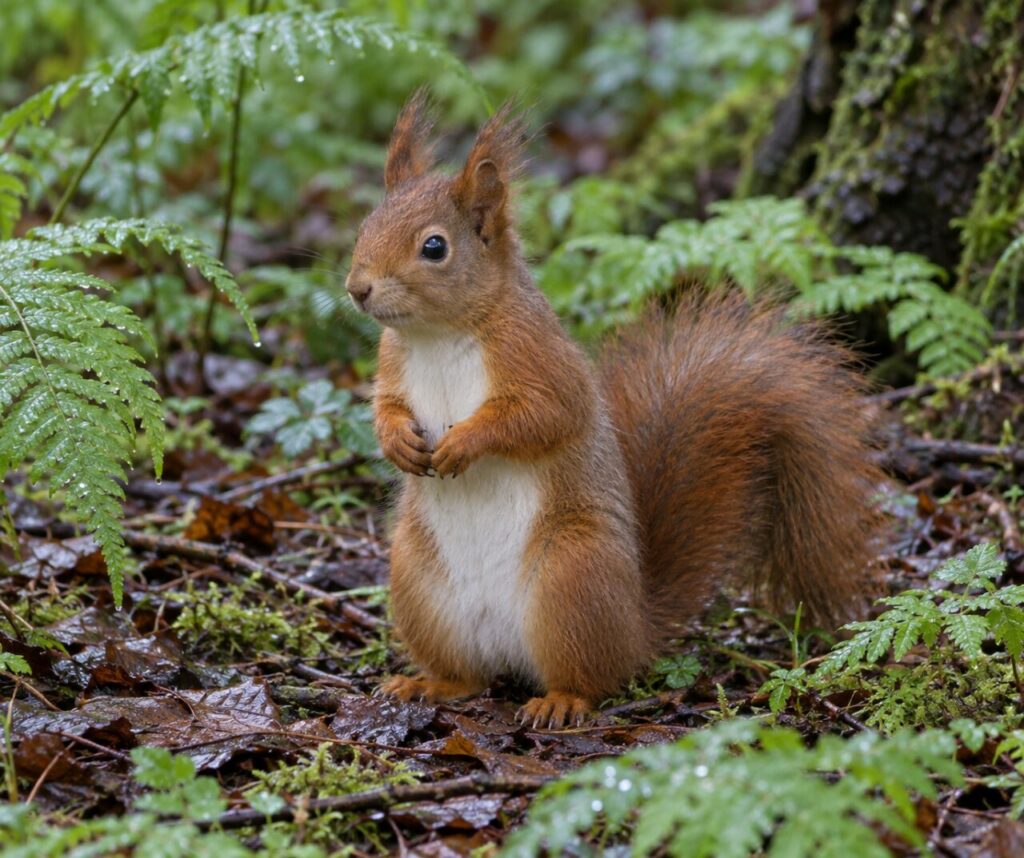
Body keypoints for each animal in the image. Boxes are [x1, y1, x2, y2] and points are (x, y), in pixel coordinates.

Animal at [345, 92, 883, 729]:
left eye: (434, 247)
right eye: (364, 226)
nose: (356, 288)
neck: (439, 334)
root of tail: (635, 626)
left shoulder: (540, 360)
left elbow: (542, 416)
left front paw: (463, 442)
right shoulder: (391, 363)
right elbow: (386, 406)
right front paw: (397, 441)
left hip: (572, 571)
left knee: (591, 677)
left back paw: (561, 700)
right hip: (418, 580)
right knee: (469, 676)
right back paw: (429, 684)